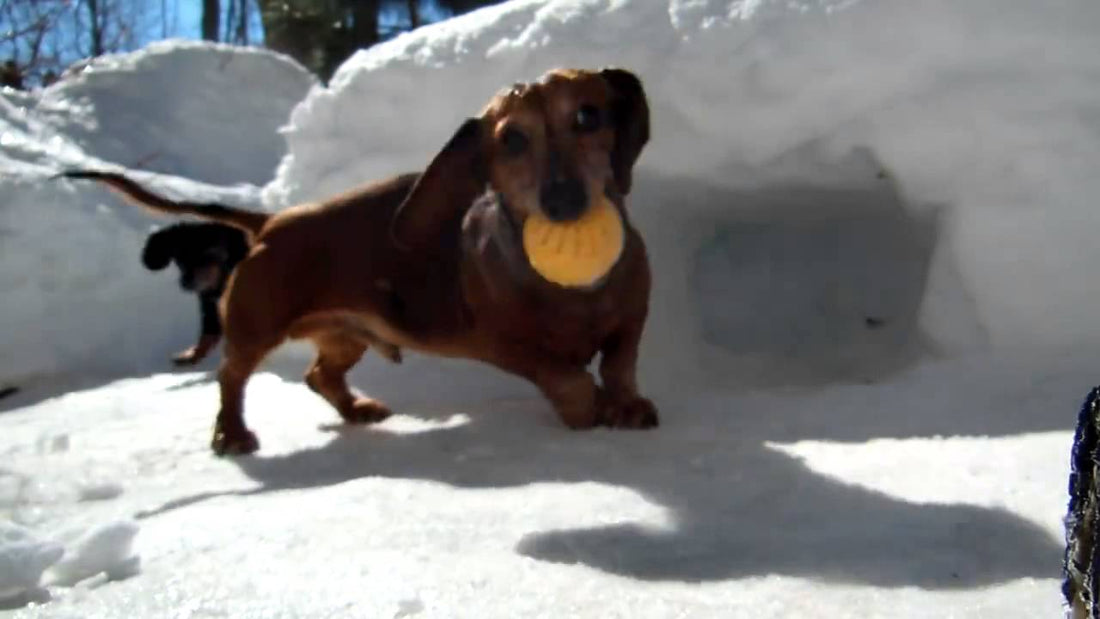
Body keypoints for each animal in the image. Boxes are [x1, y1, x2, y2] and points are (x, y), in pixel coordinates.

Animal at [141, 222, 249, 365]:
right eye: (180, 261)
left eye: (206, 257)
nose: (184, 283)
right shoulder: (210, 307)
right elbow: (207, 335)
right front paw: (192, 355)